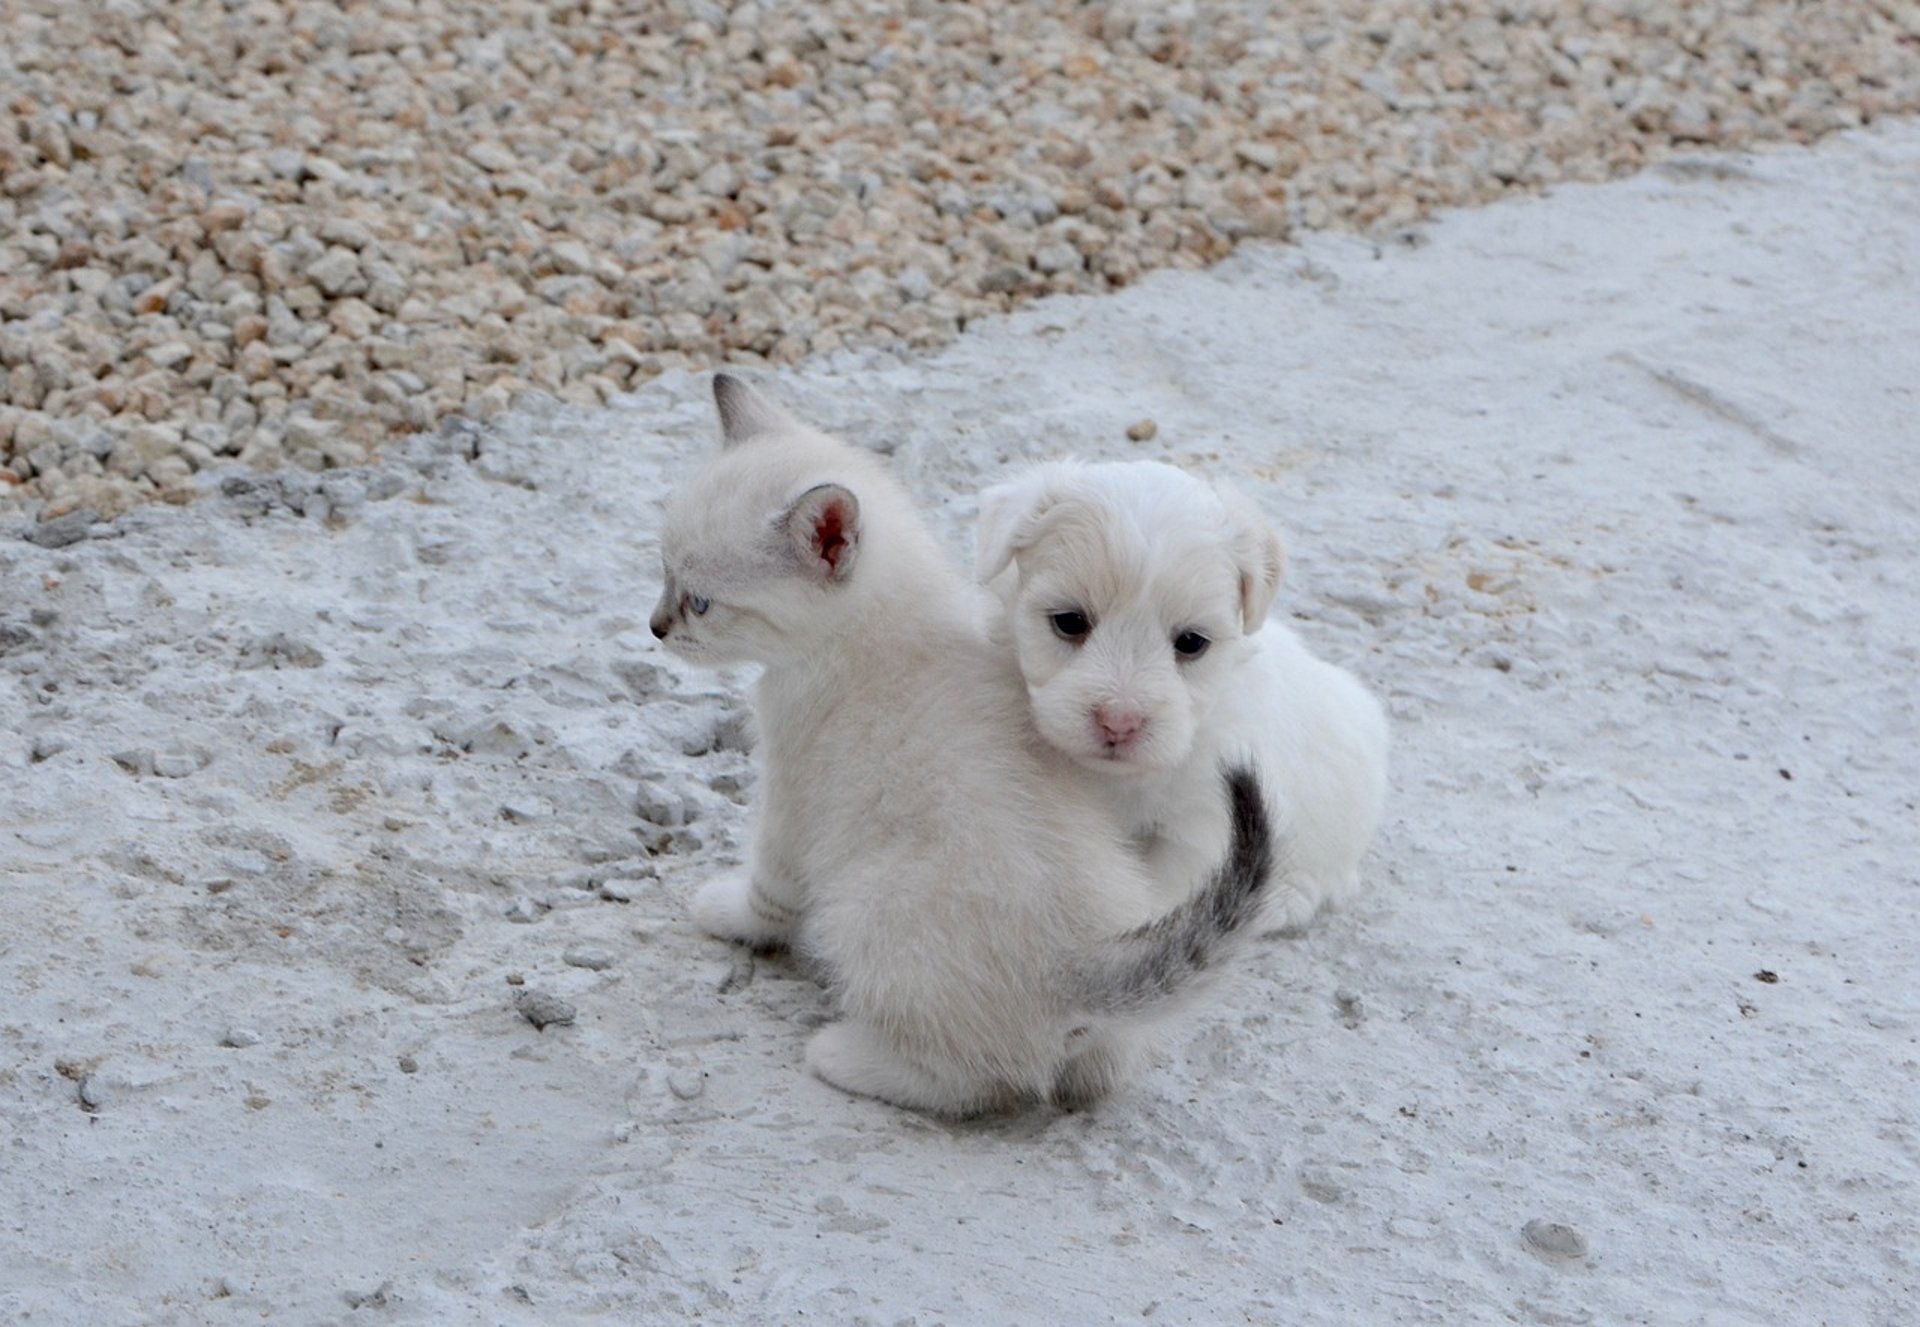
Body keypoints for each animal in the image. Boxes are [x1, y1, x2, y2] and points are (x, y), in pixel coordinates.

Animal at [648, 378, 1274, 1113]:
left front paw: (728, 913)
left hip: (866, 911)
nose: (654, 626)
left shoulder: (790, 796)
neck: (884, 627)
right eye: (662, 571)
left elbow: (767, 888)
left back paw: (846, 1056)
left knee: (976, 1081)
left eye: (700, 602)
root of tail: (1081, 960)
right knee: (1097, 1069)